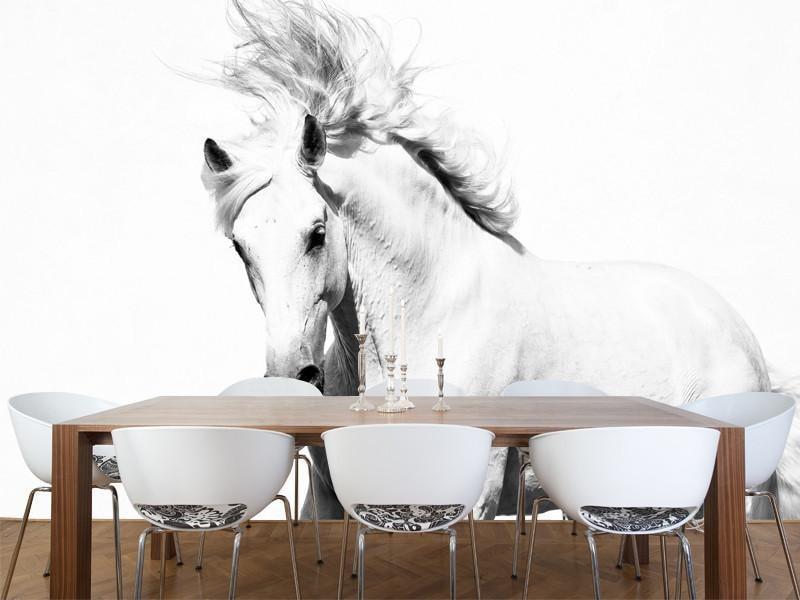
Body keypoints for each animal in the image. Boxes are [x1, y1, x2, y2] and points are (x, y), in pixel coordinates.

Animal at [200, 0, 800, 519]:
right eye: (240, 245)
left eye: (317, 233)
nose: (291, 375)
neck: (429, 306)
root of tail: (741, 333)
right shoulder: (328, 497)